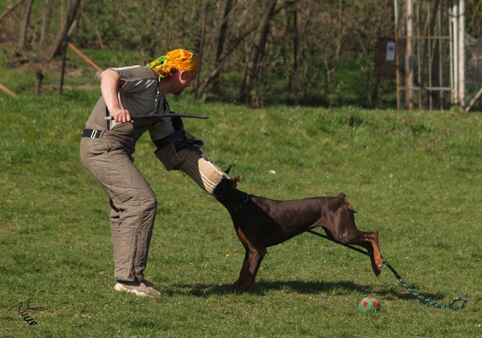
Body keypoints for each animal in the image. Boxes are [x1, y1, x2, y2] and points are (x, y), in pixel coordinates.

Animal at [216, 176, 384, 292]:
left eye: (221, 183)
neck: (241, 204)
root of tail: (340, 198)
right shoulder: (249, 249)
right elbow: (243, 271)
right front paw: (233, 286)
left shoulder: (258, 250)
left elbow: (250, 273)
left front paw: (242, 289)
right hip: (336, 235)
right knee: (367, 242)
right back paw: (376, 265)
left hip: (343, 234)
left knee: (373, 234)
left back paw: (378, 261)